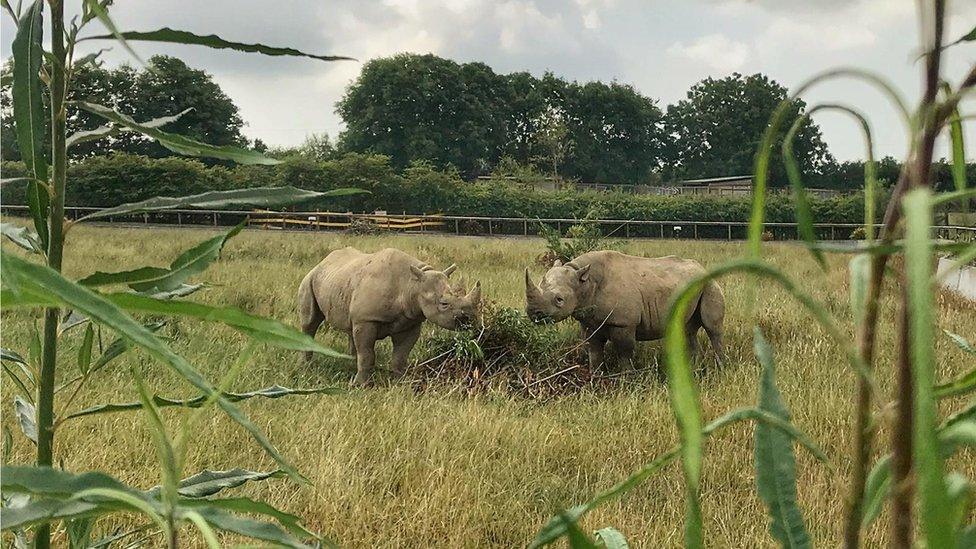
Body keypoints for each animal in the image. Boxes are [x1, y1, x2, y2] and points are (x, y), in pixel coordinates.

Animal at [298, 246, 480, 384]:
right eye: (444, 304)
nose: (469, 319)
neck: (412, 285)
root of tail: (322, 262)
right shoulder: (367, 319)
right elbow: (367, 354)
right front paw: (361, 385)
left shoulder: (411, 321)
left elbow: (400, 356)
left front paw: (400, 383)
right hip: (310, 279)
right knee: (310, 322)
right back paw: (305, 367)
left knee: (351, 327)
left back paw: (349, 365)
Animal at [528, 250, 724, 366]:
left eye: (559, 300)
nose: (534, 314)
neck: (584, 283)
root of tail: (702, 268)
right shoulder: (590, 320)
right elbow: (594, 350)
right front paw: (595, 377)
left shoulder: (623, 323)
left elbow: (624, 352)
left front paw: (625, 381)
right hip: (693, 287)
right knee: (688, 329)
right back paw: (694, 367)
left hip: (709, 285)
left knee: (712, 329)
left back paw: (719, 367)